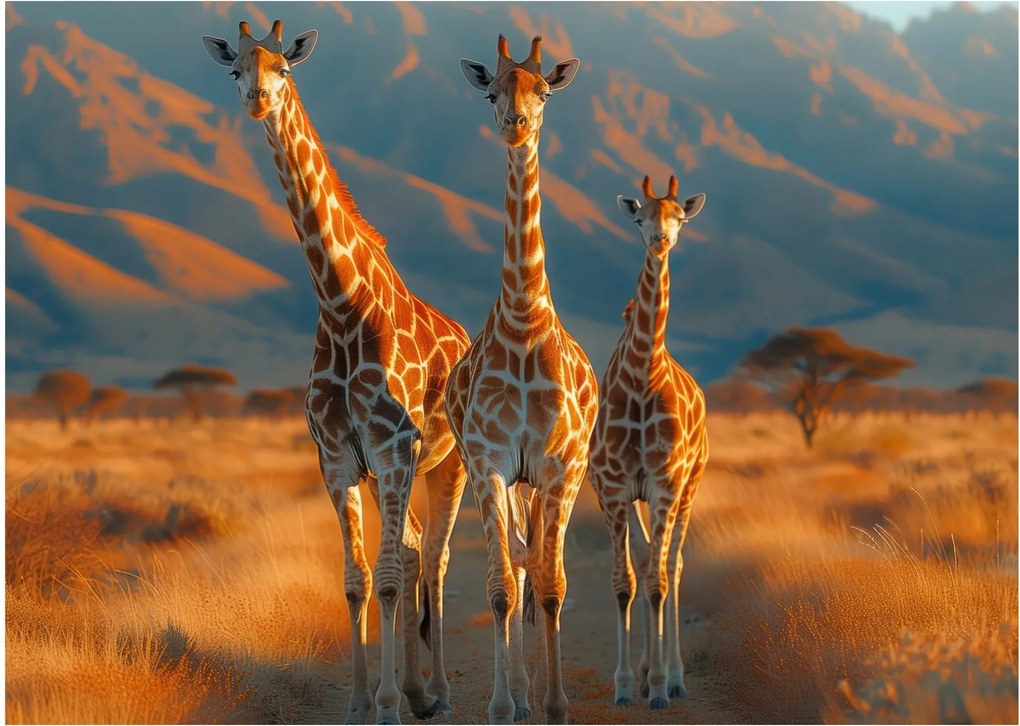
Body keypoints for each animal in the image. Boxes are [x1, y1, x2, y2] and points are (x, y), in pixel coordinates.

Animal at [202, 21, 470, 724]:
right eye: (235, 70)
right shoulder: (340, 459)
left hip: (450, 465)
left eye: (283, 69)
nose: (258, 100)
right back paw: (417, 689)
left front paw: (388, 704)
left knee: (435, 558)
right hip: (386, 474)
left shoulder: (396, 449)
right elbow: (357, 580)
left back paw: (438, 691)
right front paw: (359, 701)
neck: (342, 304)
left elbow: (390, 578)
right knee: (412, 550)